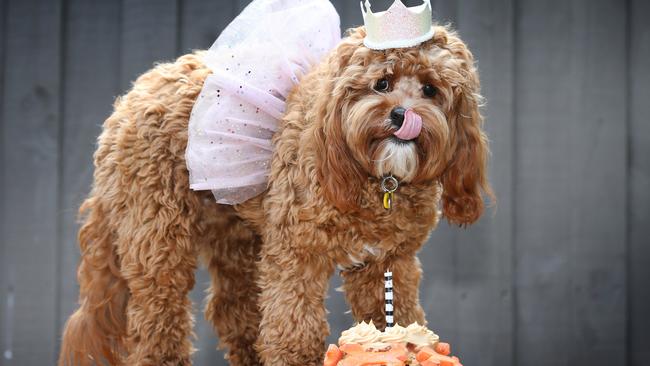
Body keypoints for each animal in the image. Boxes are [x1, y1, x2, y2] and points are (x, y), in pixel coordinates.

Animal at [57, 25, 492, 366]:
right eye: (381, 83)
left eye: (431, 90)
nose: (402, 116)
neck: (380, 179)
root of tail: (130, 98)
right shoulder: (296, 256)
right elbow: (293, 332)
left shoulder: (388, 263)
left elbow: (396, 314)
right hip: (157, 235)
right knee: (157, 314)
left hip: (234, 234)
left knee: (232, 309)